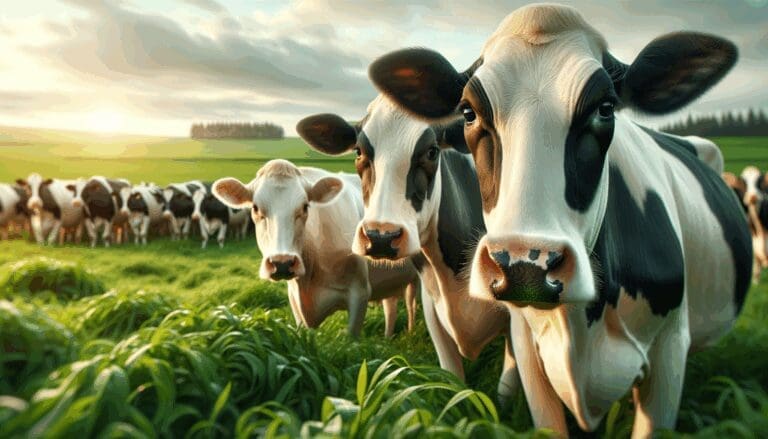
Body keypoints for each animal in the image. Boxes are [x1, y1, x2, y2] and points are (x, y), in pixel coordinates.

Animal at [212, 159, 420, 338]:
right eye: (255, 208)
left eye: (305, 207)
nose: (282, 263)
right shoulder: (295, 302)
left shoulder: (359, 293)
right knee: (391, 307)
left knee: (411, 306)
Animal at [296, 96, 518, 405]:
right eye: (358, 151)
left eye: (432, 151)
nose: (380, 237)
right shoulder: (433, 304)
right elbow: (455, 381)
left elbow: (506, 392)